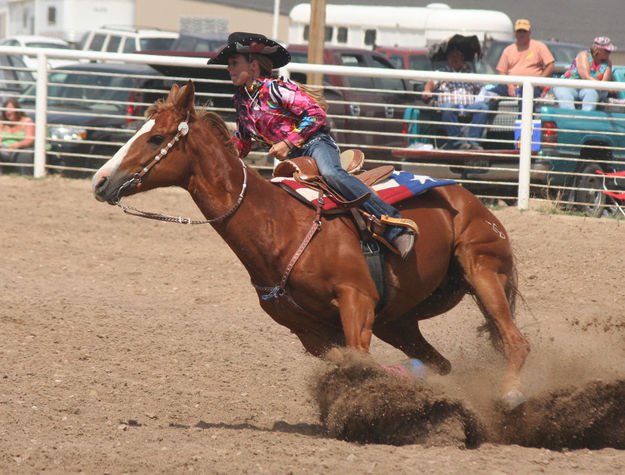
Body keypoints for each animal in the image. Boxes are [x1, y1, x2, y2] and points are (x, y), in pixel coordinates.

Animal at [92, 81, 528, 410]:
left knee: (514, 340)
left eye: (155, 138)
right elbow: (354, 365)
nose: (100, 181)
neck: (280, 226)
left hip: (484, 270)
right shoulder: (310, 333)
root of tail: (465, 197)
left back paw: (510, 396)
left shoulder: (357, 302)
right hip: (399, 321)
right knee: (441, 363)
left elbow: (360, 362)